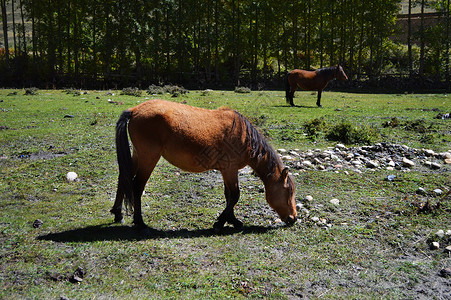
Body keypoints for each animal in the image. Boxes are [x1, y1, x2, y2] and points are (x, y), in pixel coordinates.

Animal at [111, 99, 298, 231]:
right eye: (289, 191)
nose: (293, 218)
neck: (245, 138)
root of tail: (134, 111)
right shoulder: (230, 170)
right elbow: (235, 196)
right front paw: (221, 222)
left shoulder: (226, 171)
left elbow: (229, 196)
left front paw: (232, 220)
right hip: (149, 158)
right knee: (136, 186)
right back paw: (140, 223)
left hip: (138, 155)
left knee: (124, 178)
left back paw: (118, 214)